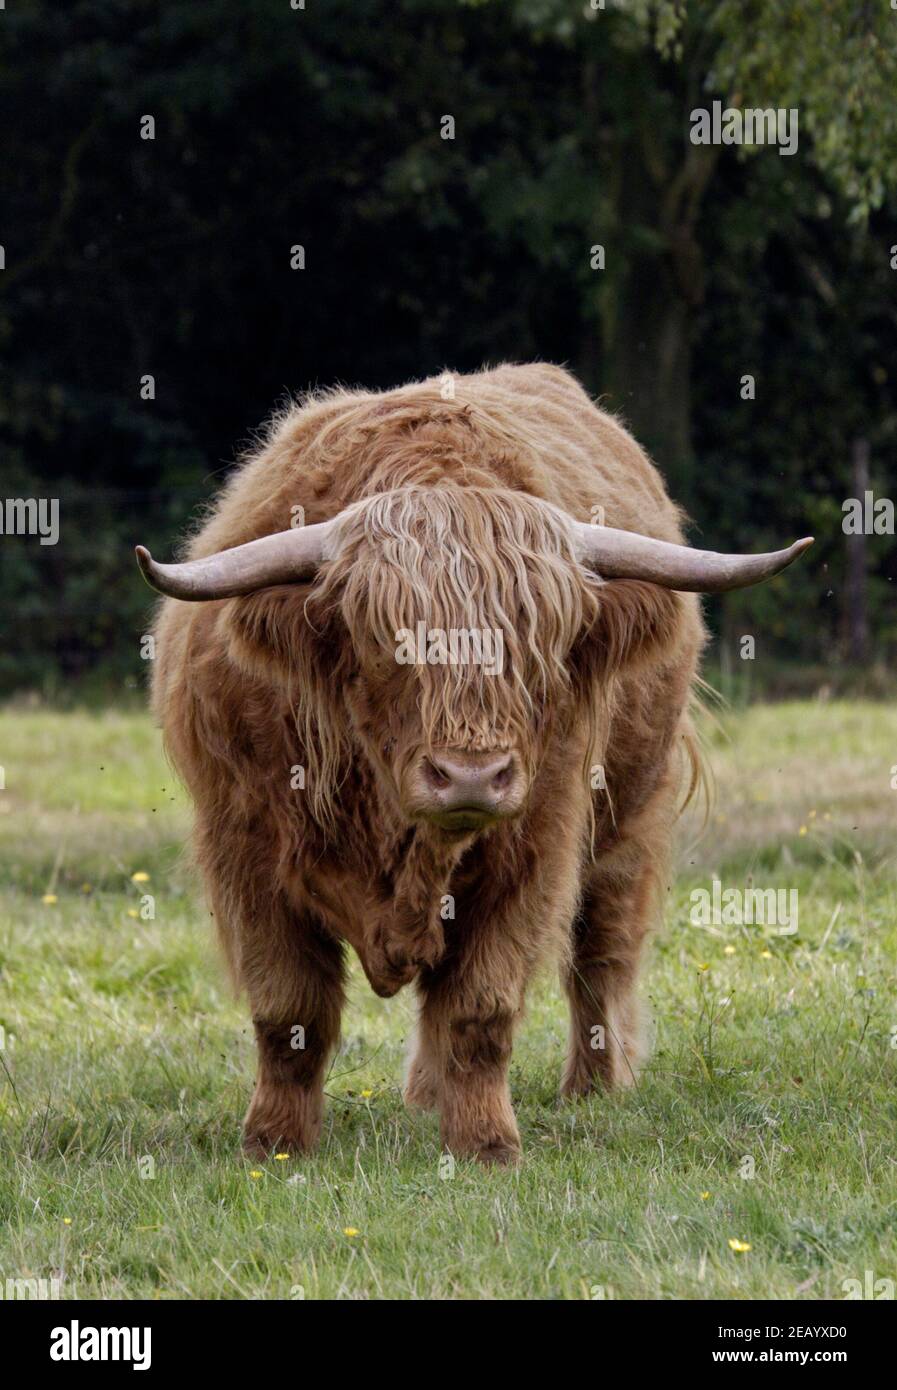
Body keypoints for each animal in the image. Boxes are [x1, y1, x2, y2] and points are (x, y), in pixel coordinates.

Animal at [134, 361, 812, 1162]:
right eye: (387, 641)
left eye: (540, 641)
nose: (469, 777)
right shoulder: (246, 847)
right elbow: (289, 1010)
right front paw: (274, 1144)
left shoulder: (536, 846)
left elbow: (479, 1007)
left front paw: (486, 1145)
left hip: (629, 815)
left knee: (602, 952)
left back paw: (592, 1087)